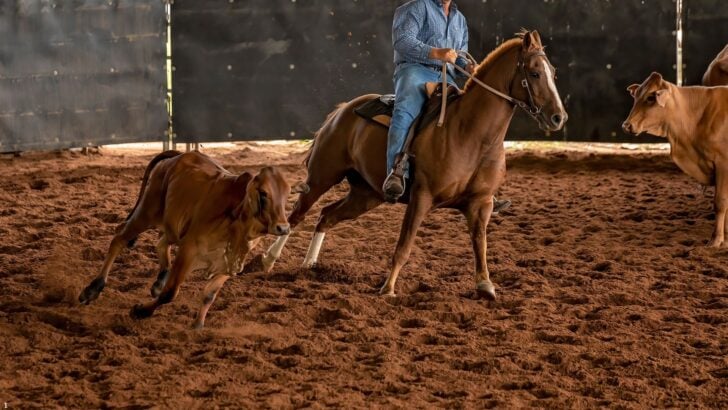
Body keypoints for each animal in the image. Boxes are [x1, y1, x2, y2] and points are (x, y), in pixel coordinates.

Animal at [262, 30, 567, 298]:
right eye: (535, 73)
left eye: (553, 72)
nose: (558, 118)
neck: (471, 134)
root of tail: (343, 110)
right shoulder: (422, 197)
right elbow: (404, 245)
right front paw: (388, 288)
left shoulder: (481, 204)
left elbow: (480, 245)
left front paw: (485, 286)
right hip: (322, 177)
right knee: (296, 217)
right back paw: (268, 260)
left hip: (366, 195)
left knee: (326, 216)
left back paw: (309, 265)